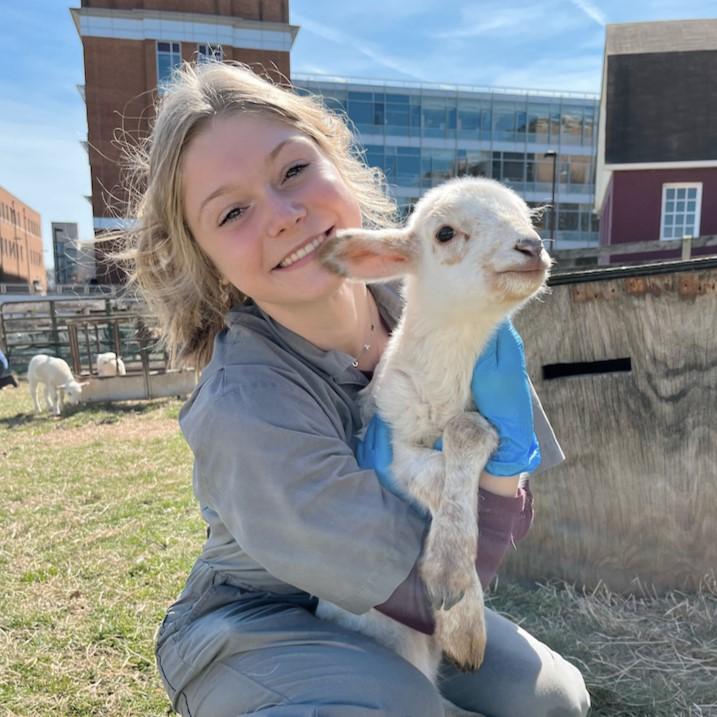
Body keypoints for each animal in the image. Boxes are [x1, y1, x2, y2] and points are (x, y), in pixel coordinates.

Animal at [316, 176, 552, 712]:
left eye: (527, 218)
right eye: (445, 233)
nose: (531, 246)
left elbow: (470, 434)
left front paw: (455, 599)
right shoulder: (387, 441)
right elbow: (443, 465)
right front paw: (453, 587)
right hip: (397, 642)